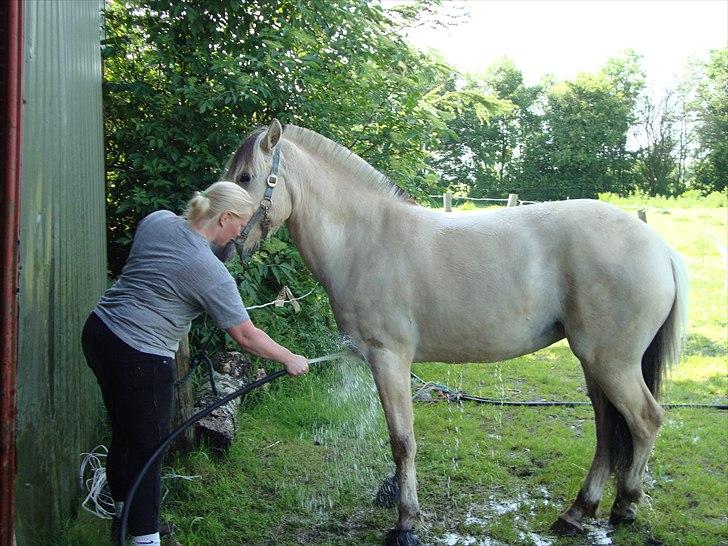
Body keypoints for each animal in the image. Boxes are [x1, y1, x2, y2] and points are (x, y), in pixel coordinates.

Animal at [226, 119, 688, 544]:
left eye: (246, 177)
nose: (225, 245)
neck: (367, 239)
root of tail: (660, 247)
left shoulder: (388, 359)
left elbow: (402, 441)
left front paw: (406, 522)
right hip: (595, 364)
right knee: (607, 430)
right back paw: (578, 512)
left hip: (612, 363)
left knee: (645, 420)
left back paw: (625, 505)